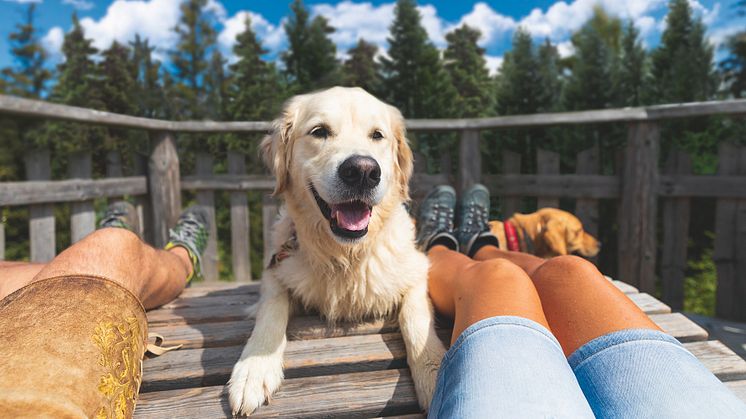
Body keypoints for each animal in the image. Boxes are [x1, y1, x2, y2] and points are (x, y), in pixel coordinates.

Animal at [227, 88, 444, 416]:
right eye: (320, 131)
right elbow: (271, 309)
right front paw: (254, 367)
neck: (346, 256)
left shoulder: (417, 271)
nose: (363, 171)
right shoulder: (275, 271)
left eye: (377, 135)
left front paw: (436, 373)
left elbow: (416, 319)